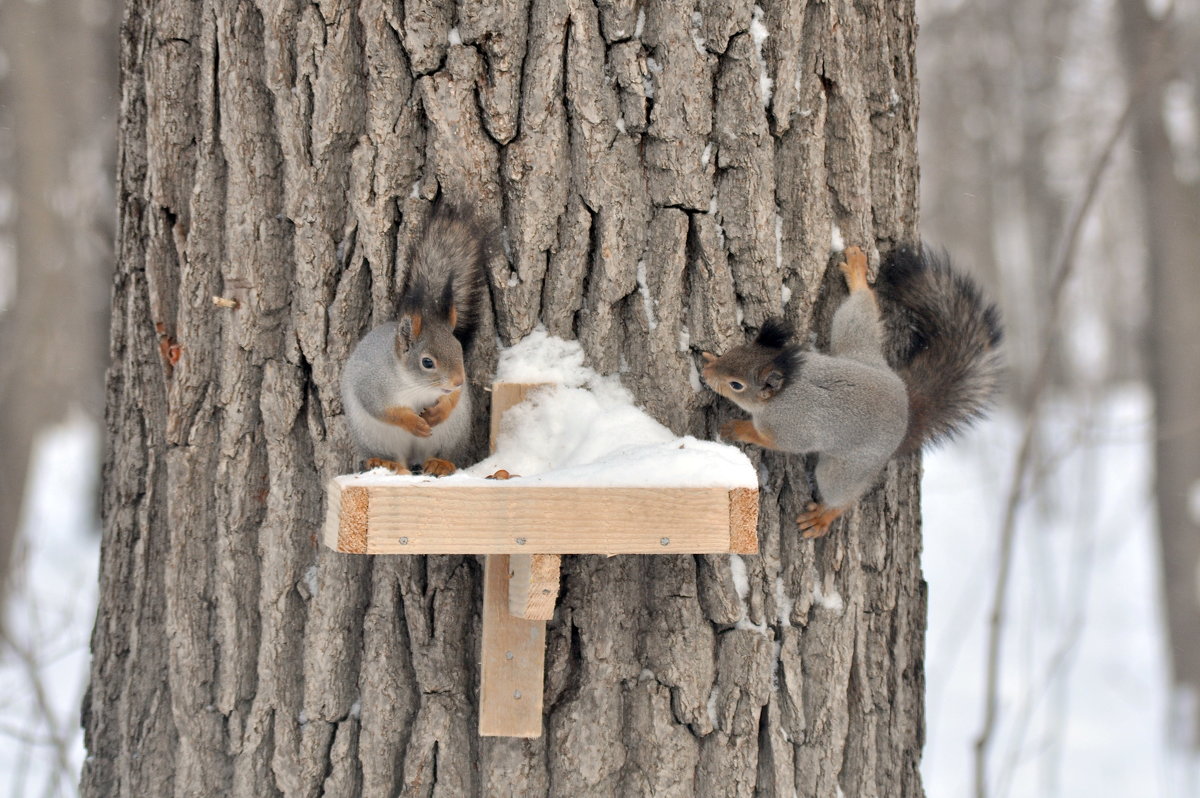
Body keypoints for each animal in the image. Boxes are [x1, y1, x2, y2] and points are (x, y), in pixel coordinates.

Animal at [338, 205, 487, 475]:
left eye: (459, 350)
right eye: (427, 362)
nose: (458, 381)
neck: (415, 386)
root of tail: (414, 458)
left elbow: (452, 399)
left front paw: (438, 412)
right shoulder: (370, 385)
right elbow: (384, 411)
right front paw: (413, 422)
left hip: (452, 433)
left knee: (441, 454)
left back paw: (439, 463)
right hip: (374, 437)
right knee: (394, 457)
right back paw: (387, 464)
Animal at [700, 246, 1003, 537]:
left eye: (736, 385)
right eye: (735, 351)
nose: (706, 374)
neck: (786, 387)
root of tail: (905, 410)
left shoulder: (790, 426)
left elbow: (777, 441)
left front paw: (737, 429)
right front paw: (708, 358)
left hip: (845, 468)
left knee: (843, 495)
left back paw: (824, 517)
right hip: (857, 348)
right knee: (859, 312)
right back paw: (858, 275)